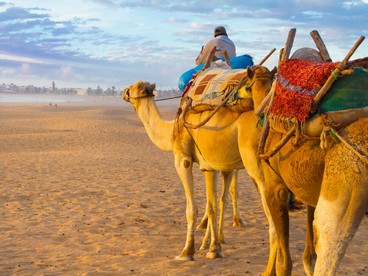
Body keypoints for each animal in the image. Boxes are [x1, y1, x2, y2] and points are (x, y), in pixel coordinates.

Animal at [122, 64, 278, 268]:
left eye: (134, 87)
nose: (123, 92)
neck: (172, 131)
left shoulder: (182, 160)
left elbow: (192, 209)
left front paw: (187, 252)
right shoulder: (210, 165)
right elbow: (213, 205)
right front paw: (213, 248)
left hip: (256, 164)